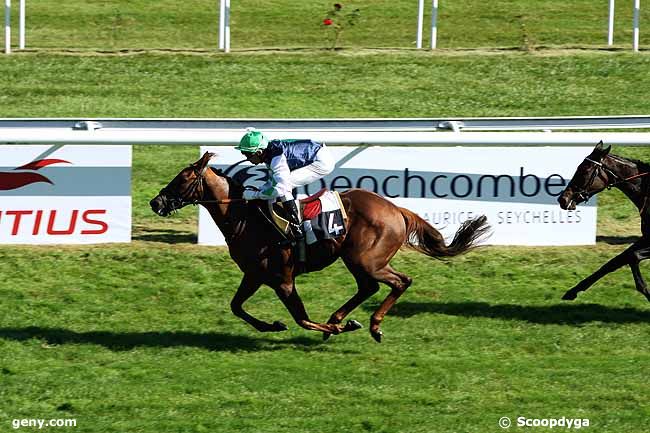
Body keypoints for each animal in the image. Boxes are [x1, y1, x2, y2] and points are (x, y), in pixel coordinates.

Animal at [151, 152, 486, 340]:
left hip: (366, 259)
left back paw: (372, 325)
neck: (246, 219)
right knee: (370, 287)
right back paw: (341, 318)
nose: (156, 202)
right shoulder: (254, 275)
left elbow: (300, 318)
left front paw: (338, 329)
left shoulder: (283, 280)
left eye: (182, 179)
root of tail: (397, 210)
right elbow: (236, 307)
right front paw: (273, 326)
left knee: (399, 281)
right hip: (360, 259)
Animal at [556, 141, 648, 300]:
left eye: (584, 170)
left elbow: (632, 256)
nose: (563, 199)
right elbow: (615, 261)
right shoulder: (647, 237)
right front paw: (572, 291)